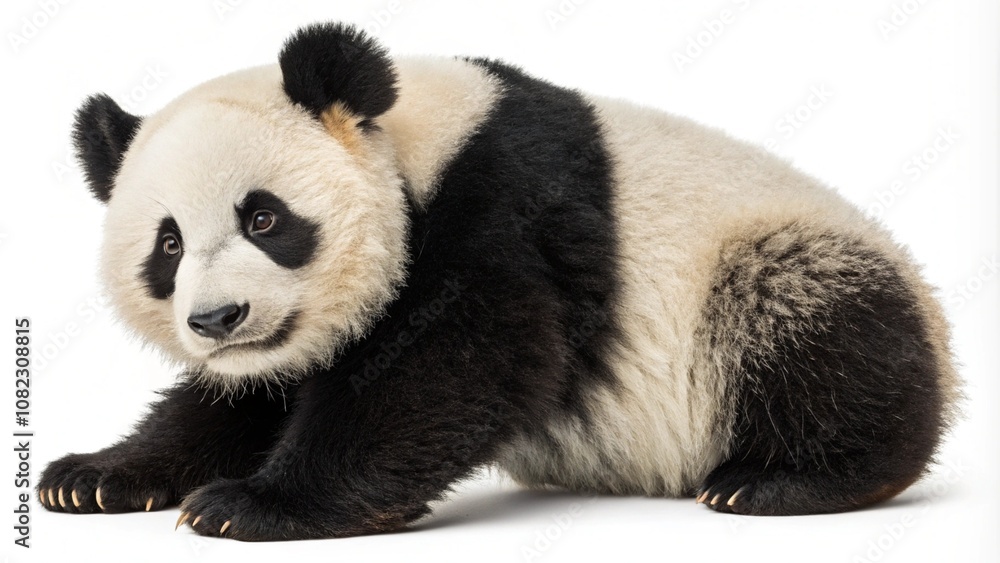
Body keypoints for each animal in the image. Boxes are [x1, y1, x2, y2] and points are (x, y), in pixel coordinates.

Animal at [39, 22, 960, 541]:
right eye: (167, 245)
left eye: (264, 219)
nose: (219, 319)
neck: (413, 144)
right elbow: (247, 397)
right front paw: (92, 475)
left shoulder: (503, 209)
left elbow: (453, 368)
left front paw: (253, 503)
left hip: (766, 263)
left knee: (815, 333)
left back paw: (780, 479)